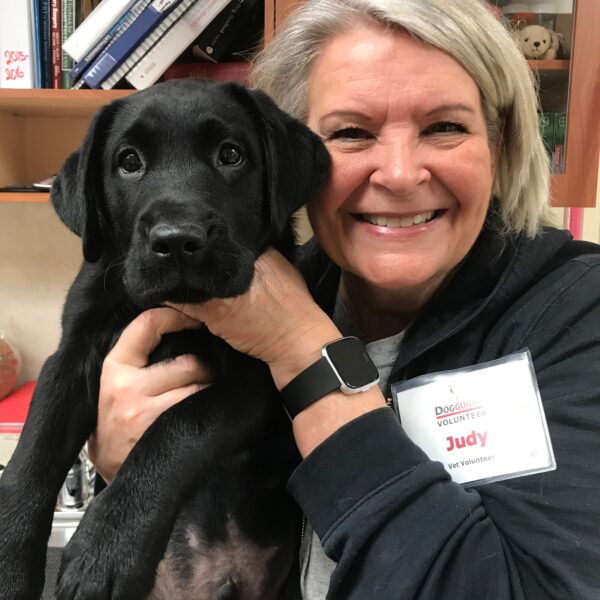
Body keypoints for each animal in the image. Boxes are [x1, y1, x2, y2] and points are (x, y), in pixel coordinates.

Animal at [0, 79, 330, 600]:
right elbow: (33, 451)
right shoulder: (72, 354)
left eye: (231, 154)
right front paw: (8, 564)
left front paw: (107, 546)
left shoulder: (258, 381)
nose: (177, 240)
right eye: (128, 161)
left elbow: (178, 426)